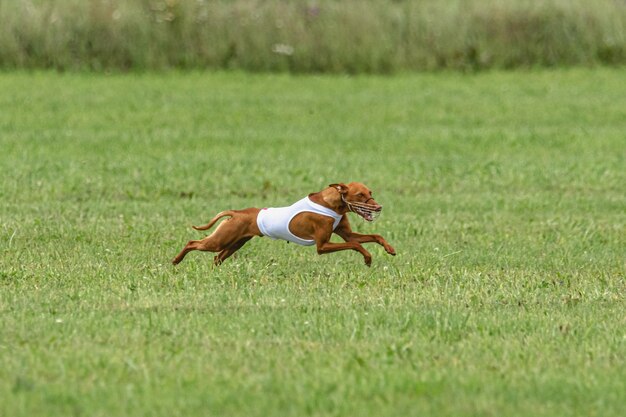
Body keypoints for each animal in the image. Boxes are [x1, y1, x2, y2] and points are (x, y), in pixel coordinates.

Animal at [171, 182, 394, 266]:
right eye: (360, 195)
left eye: (370, 192)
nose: (379, 207)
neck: (332, 205)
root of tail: (237, 212)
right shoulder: (322, 246)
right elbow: (355, 244)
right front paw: (367, 258)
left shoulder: (345, 233)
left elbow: (374, 236)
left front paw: (389, 248)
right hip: (221, 240)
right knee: (192, 243)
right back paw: (175, 261)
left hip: (235, 243)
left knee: (217, 258)